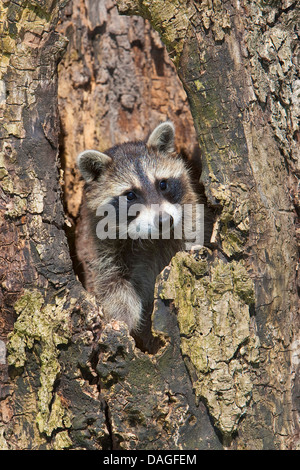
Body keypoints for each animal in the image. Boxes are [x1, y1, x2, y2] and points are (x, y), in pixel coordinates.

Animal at [76, 121, 200, 334]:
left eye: (163, 184)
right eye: (130, 195)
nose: (164, 220)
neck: (152, 239)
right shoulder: (102, 248)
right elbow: (112, 284)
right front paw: (123, 320)